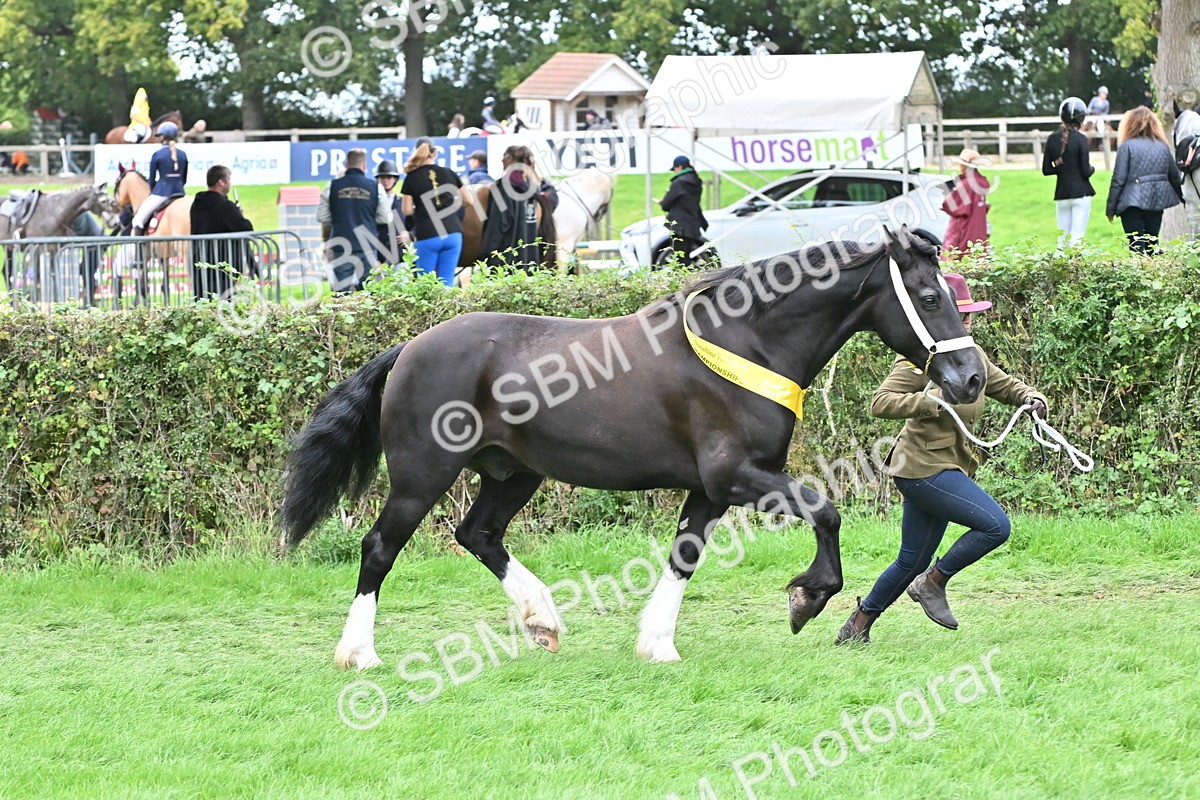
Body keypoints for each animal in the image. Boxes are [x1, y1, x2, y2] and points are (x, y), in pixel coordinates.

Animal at [280, 226, 987, 670]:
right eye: (929, 296)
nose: (971, 379)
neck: (748, 342)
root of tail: (409, 348)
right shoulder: (737, 476)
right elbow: (825, 510)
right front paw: (805, 600)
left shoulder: (708, 489)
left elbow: (684, 555)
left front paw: (657, 645)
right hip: (422, 475)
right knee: (380, 548)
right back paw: (359, 654)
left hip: (514, 473)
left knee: (477, 534)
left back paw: (542, 619)